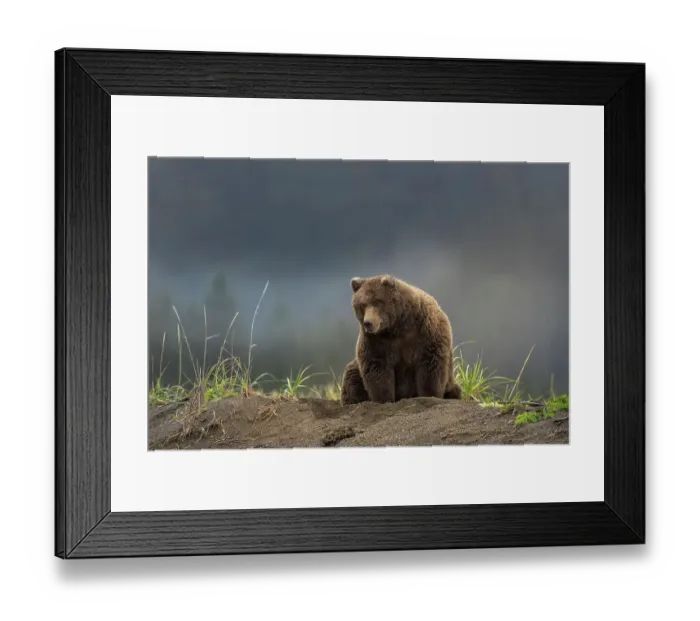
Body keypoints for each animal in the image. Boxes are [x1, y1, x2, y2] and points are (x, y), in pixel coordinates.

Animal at [340, 274, 462, 405]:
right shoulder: (376, 341)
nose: (368, 323)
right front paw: (384, 399)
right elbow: (377, 369)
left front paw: (430, 395)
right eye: (362, 305)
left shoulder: (426, 332)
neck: (398, 326)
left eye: (377, 302)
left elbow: (431, 366)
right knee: (352, 375)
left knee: (455, 389)